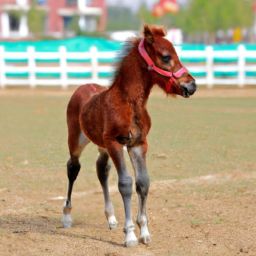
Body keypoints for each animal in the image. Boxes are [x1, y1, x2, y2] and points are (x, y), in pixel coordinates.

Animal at [62, 25, 196, 247]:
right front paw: (130, 235)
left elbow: (143, 182)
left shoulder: (138, 144)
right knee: (73, 168)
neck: (129, 103)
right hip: (77, 140)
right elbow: (125, 183)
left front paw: (144, 232)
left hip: (102, 145)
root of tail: (83, 86)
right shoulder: (116, 143)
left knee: (102, 169)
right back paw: (66, 216)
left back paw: (111, 218)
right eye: (166, 56)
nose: (191, 86)